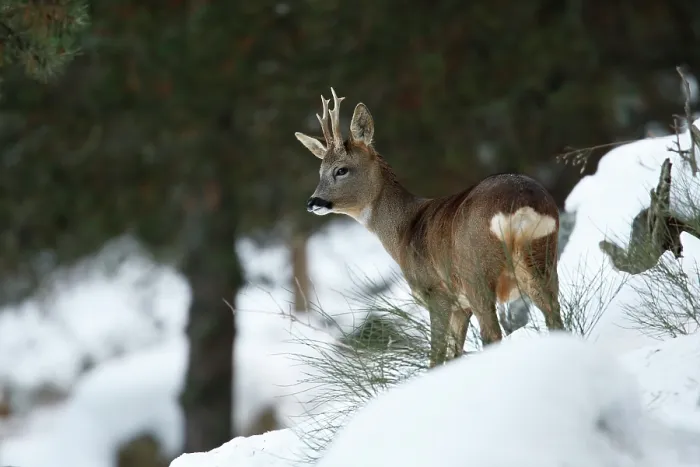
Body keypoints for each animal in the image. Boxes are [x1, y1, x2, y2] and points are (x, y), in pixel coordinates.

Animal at [295, 88, 565, 368]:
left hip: (476, 271)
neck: (404, 229)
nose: (312, 202)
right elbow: (454, 354)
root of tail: (519, 203)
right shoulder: (460, 306)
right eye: (320, 171)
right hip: (542, 257)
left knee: (492, 334)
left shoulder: (436, 293)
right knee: (555, 316)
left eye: (341, 170)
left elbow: (436, 357)